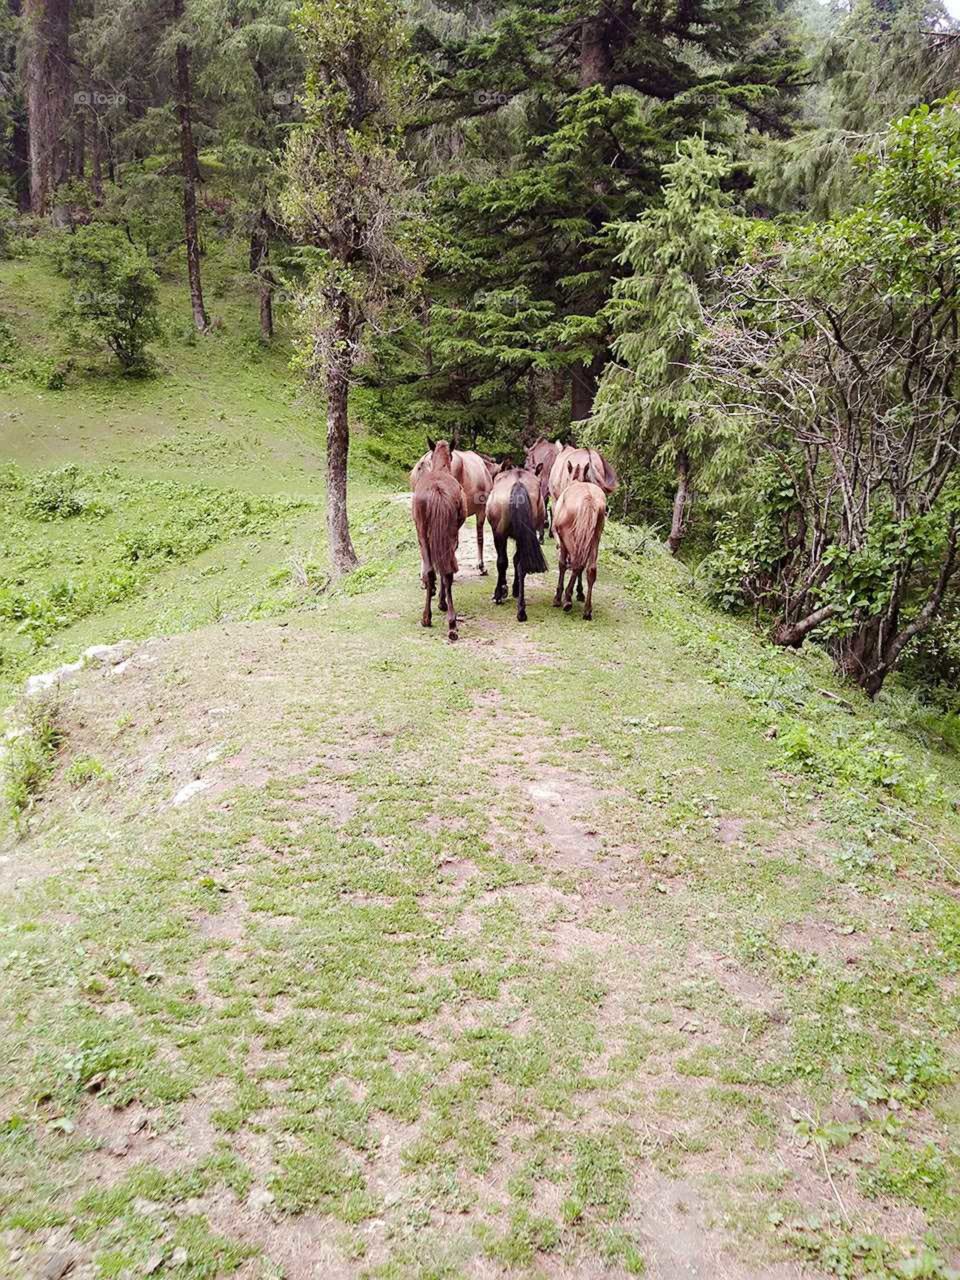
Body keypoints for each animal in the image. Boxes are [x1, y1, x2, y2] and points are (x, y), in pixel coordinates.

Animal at [412, 439, 467, 641]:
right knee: (443, 571)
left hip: (425, 533)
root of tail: (437, 489)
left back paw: (430, 617)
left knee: (436, 571)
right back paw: (449, 622)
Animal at [486, 466, 548, 623]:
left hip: (500, 533)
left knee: (502, 562)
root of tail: (518, 483)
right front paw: (515, 588)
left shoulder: (498, 533)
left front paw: (502, 591)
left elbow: (503, 562)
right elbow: (515, 560)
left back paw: (501, 595)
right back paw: (521, 609)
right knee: (521, 564)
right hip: (524, 535)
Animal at [552, 465, 606, 621]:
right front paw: (580, 592)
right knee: (590, 569)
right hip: (595, 537)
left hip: (569, 536)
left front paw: (559, 596)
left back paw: (566, 599)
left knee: (576, 563)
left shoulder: (563, 539)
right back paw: (587, 609)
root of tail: (589, 499)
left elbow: (563, 564)